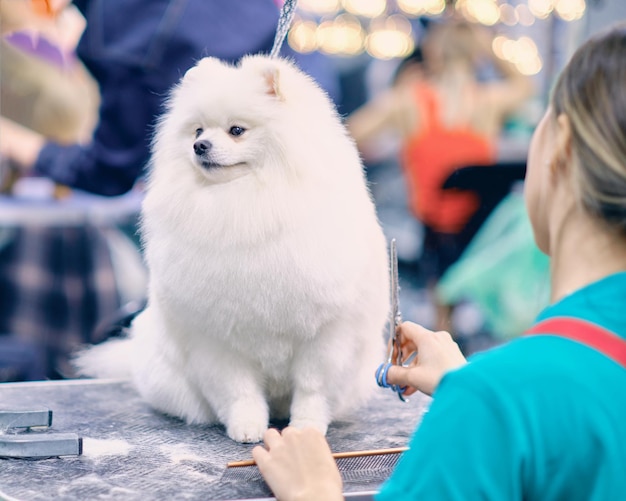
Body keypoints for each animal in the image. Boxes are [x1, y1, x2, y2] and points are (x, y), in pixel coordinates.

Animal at [75, 54, 388, 442]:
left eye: (236, 130)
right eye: (197, 131)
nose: (200, 146)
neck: (244, 202)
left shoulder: (326, 335)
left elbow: (312, 389)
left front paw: (306, 428)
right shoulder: (219, 338)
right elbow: (239, 390)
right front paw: (247, 427)